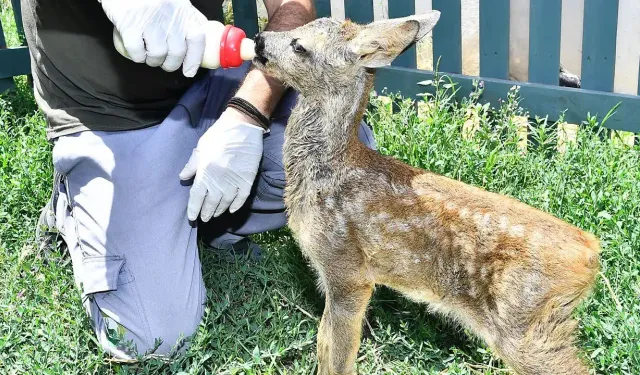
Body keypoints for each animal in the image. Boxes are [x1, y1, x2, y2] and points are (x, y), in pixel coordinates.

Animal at [251, 11, 600, 375]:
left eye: (299, 46)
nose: (259, 40)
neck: (330, 173)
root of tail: (591, 254)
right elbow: (322, 343)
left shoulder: (348, 270)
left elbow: (339, 353)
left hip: (526, 327)